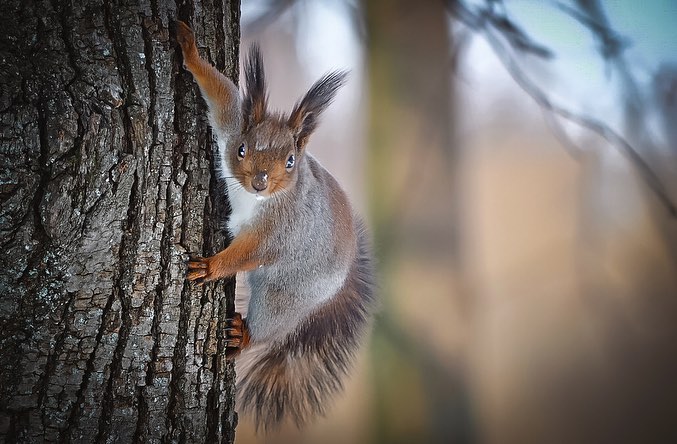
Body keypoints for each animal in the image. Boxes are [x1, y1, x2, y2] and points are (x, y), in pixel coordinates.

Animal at [176, 21, 376, 429]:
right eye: (242, 150)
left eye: (290, 161)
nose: (259, 182)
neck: (259, 200)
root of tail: (343, 276)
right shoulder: (231, 125)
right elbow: (220, 94)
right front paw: (190, 49)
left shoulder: (281, 228)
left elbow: (250, 251)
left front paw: (211, 266)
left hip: (286, 295)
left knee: (271, 325)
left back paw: (243, 337)